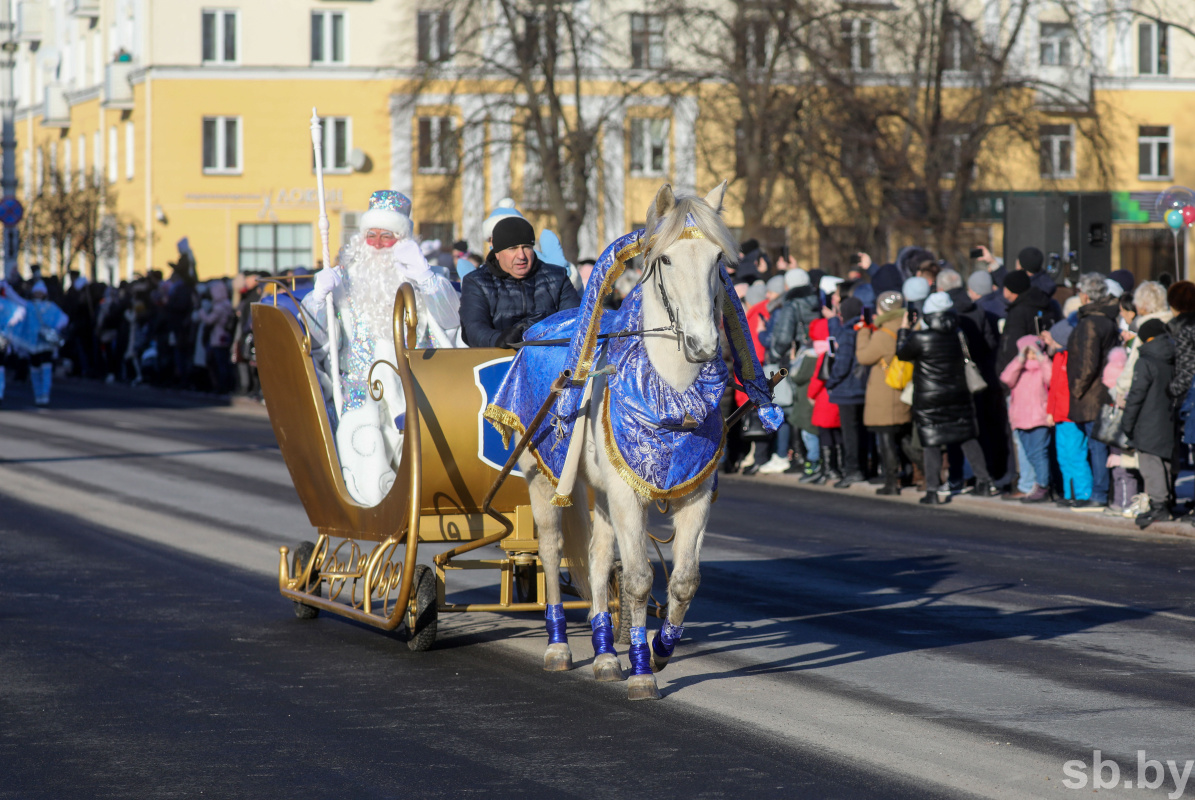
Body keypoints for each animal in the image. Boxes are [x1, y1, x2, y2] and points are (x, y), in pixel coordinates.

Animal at [521, 182, 740, 698]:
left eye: (719, 257)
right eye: (666, 259)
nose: (703, 344)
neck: (670, 401)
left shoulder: (695, 494)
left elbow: (684, 580)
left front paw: (661, 650)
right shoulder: (627, 495)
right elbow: (640, 579)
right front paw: (642, 672)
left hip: (598, 493)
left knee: (598, 557)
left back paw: (603, 655)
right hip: (544, 476)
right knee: (552, 551)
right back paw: (559, 647)